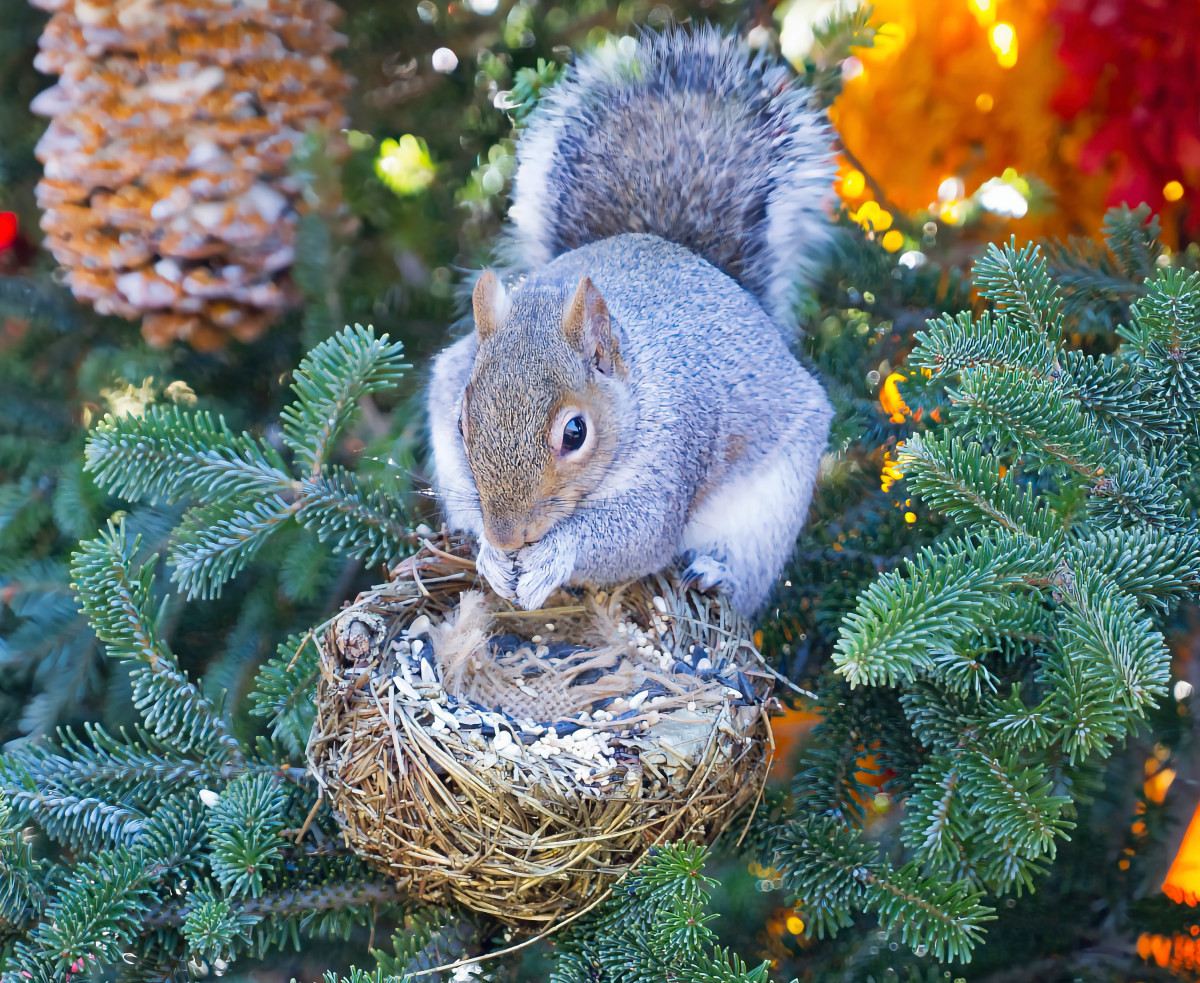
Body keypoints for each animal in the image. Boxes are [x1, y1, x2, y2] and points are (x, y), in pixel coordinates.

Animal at [429, 26, 835, 614]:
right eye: (461, 423)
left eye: (575, 433)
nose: (508, 535)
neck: (635, 383)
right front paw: (488, 552)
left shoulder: (675, 448)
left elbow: (638, 535)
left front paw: (552, 555)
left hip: (772, 505)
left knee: (746, 570)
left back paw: (716, 573)